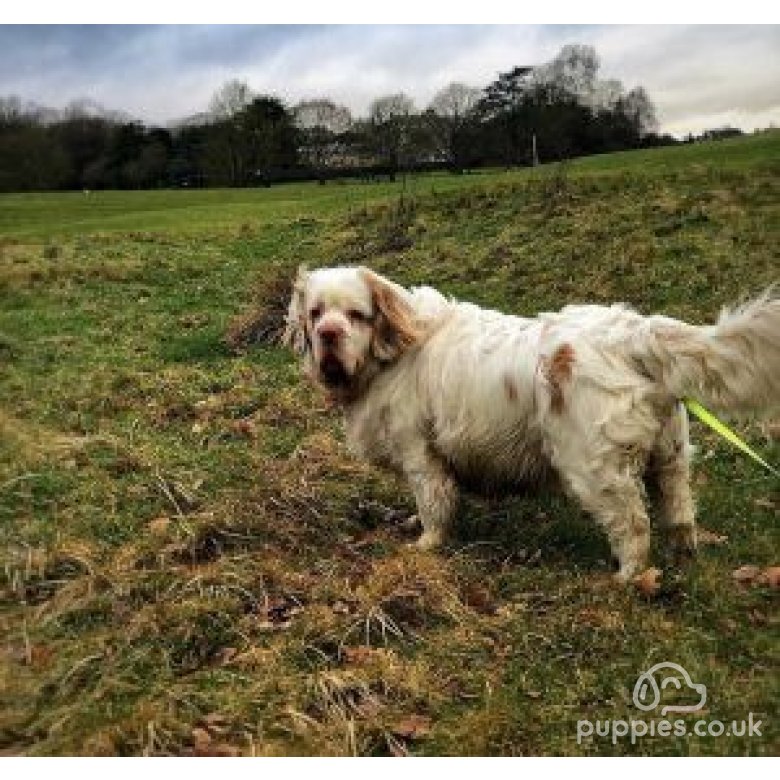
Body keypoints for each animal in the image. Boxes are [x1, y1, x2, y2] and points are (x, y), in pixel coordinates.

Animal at [284, 268, 780, 580]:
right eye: (316, 313)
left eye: (356, 314)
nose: (328, 335)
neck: (394, 352)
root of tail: (633, 333)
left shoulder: (419, 453)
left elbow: (433, 503)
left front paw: (426, 544)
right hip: (669, 457)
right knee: (679, 514)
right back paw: (682, 562)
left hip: (594, 466)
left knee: (633, 524)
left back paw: (626, 579)